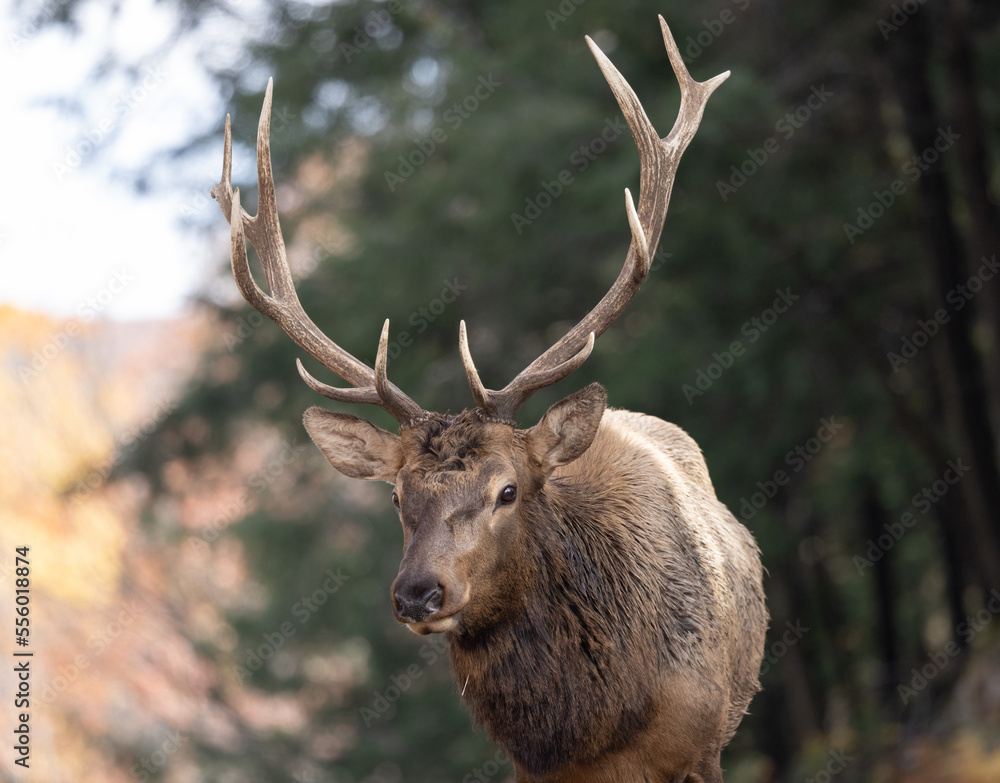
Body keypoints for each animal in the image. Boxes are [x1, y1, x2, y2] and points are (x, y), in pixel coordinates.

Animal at [211, 15, 767, 783]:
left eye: (508, 490)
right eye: (395, 496)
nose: (418, 592)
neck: (598, 731)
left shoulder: (699, 744)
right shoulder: (530, 768)